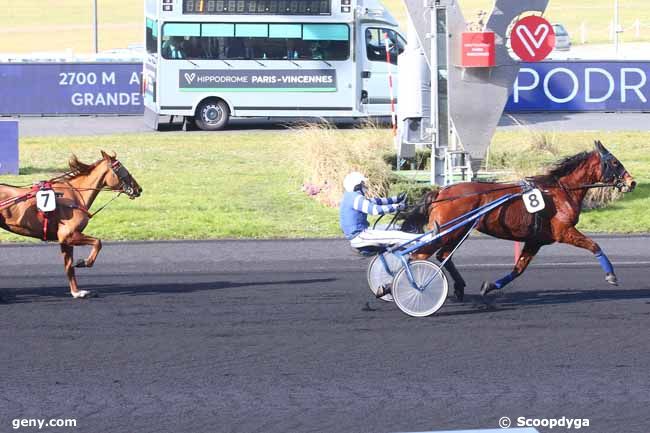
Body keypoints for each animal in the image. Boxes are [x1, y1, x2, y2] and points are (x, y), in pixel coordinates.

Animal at [0, 151, 141, 296]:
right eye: (121, 168)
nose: (138, 189)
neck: (75, 196)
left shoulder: (65, 241)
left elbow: (68, 266)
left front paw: (76, 292)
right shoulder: (68, 235)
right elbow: (98, 242)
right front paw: (84, 262)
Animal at [402, 141, 636, 300]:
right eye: (614, 162)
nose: (632, 182)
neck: (561, 191)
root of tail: (441, 192)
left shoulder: (536, 240)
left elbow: (518, 269)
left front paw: (489, 286)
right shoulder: (564, 231)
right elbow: (594, 245)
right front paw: (611, 275)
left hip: (457, 232)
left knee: (442, 255)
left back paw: (458, 287)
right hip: (449, 231)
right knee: (419, 255)